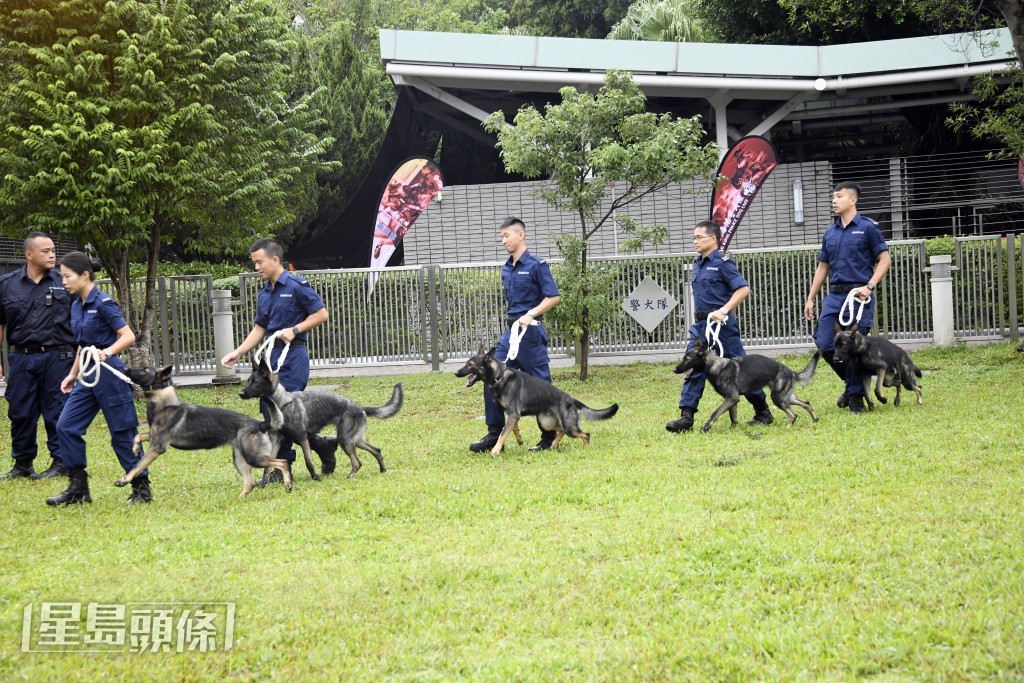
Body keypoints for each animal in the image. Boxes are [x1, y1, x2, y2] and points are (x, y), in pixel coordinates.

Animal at [118, 368, 292, 497]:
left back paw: (288, 484)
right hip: (239, 459)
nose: (126, 369)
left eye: (144, 369)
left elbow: (137, 466)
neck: (164, 402)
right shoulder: (154, 438)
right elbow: (138, 435)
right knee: (250, 482)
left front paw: (124, 480)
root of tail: (259, 424)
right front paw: (135, 448)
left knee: (282, 462)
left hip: (254, 458)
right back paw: (239, 499)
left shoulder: (156, 447)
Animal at [237, 358, 401, 481]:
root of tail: (360, 407)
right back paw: (382, 470)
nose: (240, 393)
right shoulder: (277, 440)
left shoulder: (302, 438)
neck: (281, 404)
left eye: (255, 382)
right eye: (248, 380)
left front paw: (316, 477)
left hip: (345, 440)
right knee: (376, 450)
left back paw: (350, 476)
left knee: (357, 462)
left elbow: (308, 461)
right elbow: (268, 465)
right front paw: (263, 483)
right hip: (355, 440)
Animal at [454, 348, 614, 454]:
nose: (456, 373)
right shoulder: (512, 415)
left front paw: (495, 450)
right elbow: (512, 429)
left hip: (569, 426)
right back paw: (553, 444)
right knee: (561, 430)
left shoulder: (513, 414)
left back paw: (585, 449)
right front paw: (519, 439)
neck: (499, 377)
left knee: (585, 434)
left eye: (470, 364)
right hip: (546, 422)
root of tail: (570, 399)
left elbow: (502, 434)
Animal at [671, 337, 823, 430]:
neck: (714, 365)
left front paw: (706, 427)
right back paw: (815, 419)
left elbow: (715, 412)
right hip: (786, 397)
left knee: (793, 414)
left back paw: (788, 427)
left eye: (687, 360)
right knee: (806, 403)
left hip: (778, 398)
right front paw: (733, 429)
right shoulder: (732, 400)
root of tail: (791, 372)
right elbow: (733, 418)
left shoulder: (731, 398)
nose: (675, 369)